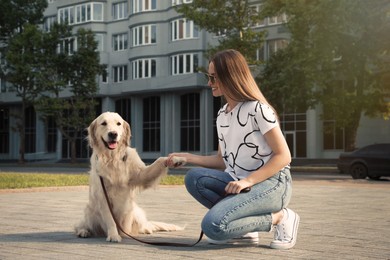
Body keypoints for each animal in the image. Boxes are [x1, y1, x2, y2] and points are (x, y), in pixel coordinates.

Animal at [76, 112, 187, 243]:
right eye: (103, 123)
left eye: (118, 123)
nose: (113, 134)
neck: (113, 158)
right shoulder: (103, 195)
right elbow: (110, 219)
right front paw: (113, 235)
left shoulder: (141, 174)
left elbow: (159, 160)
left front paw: (175, 159)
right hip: (89, 211)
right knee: (82, 225)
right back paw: (83, 231)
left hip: (136, 212)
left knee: (143, 225)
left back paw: (146, 229)